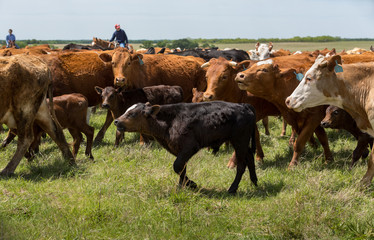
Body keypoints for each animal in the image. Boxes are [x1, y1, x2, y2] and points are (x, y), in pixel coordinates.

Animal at [114, 101, 258, 193]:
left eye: (132, 114)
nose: (116, 121)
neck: (170, 121)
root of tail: (244, 106)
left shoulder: (190, 147)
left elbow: (177, 166)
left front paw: (192, 184)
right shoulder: (179, 150)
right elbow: (182, 168)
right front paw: (181, 187)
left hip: (239, 141)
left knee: (241, 165)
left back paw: (233, 188)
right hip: (242, 142)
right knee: (250, 157)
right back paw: (254, 182)